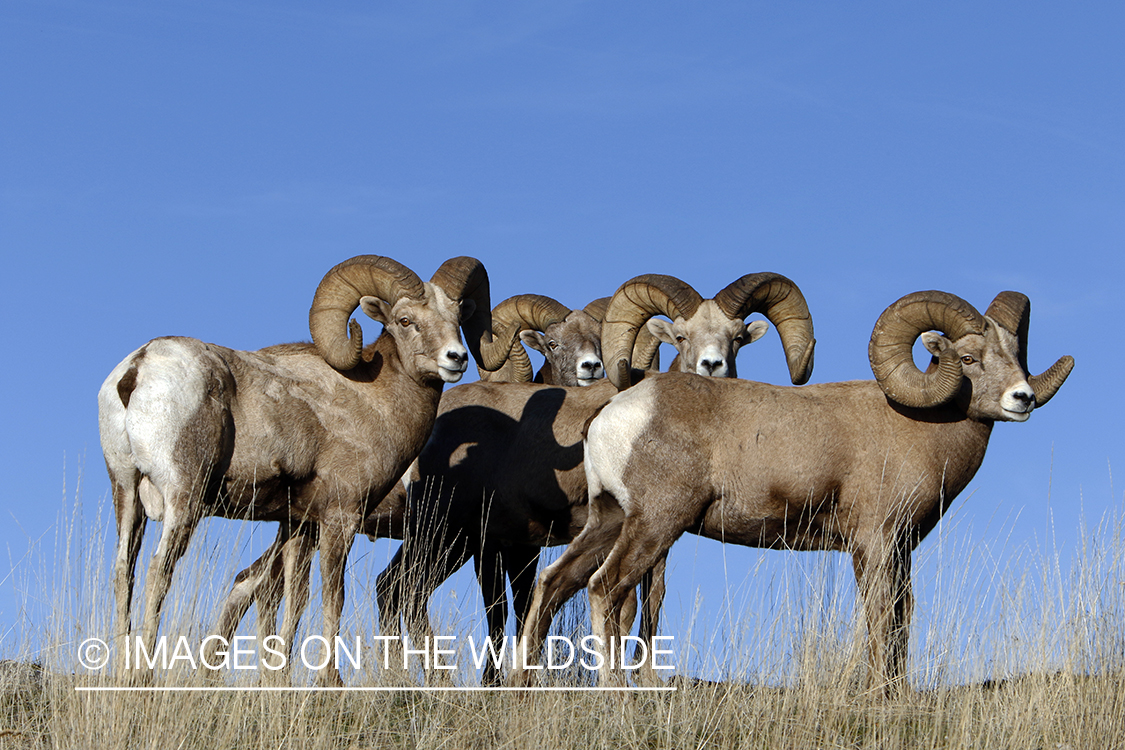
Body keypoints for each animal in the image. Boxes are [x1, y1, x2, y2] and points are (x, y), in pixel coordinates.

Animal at [98, 255, 511, 685]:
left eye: (457, 317)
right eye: (405, 320)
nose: (456, 358)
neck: (375, 400)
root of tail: (139, 368)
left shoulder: (299, 524)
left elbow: (296, 597)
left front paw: (284, 679)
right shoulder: (340, 518)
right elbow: (333, 594)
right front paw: (330, 681)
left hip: (126, 494)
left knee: (124, 571)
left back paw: (123, 671)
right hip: (184, 498)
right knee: (158, 571)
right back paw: (143, 675)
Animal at [376, 271, 817, 685]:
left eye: (737, 337)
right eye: (681, 336)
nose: (712, 365)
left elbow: (651, 598)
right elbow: (623, 606)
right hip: (446, 535)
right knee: (403, 591)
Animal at [510, 290, 1073, 693]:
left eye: (1015, 353)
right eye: (970, 359)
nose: (1022, 398)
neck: (920, 426)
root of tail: (614, 413)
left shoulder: (900, 551)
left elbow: (902, 618)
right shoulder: (874, 544)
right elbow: (879, 617)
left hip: (607, 521)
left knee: (554, 584)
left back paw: (523, 681)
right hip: (653, 525)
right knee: (605, 588)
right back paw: (614, 692)